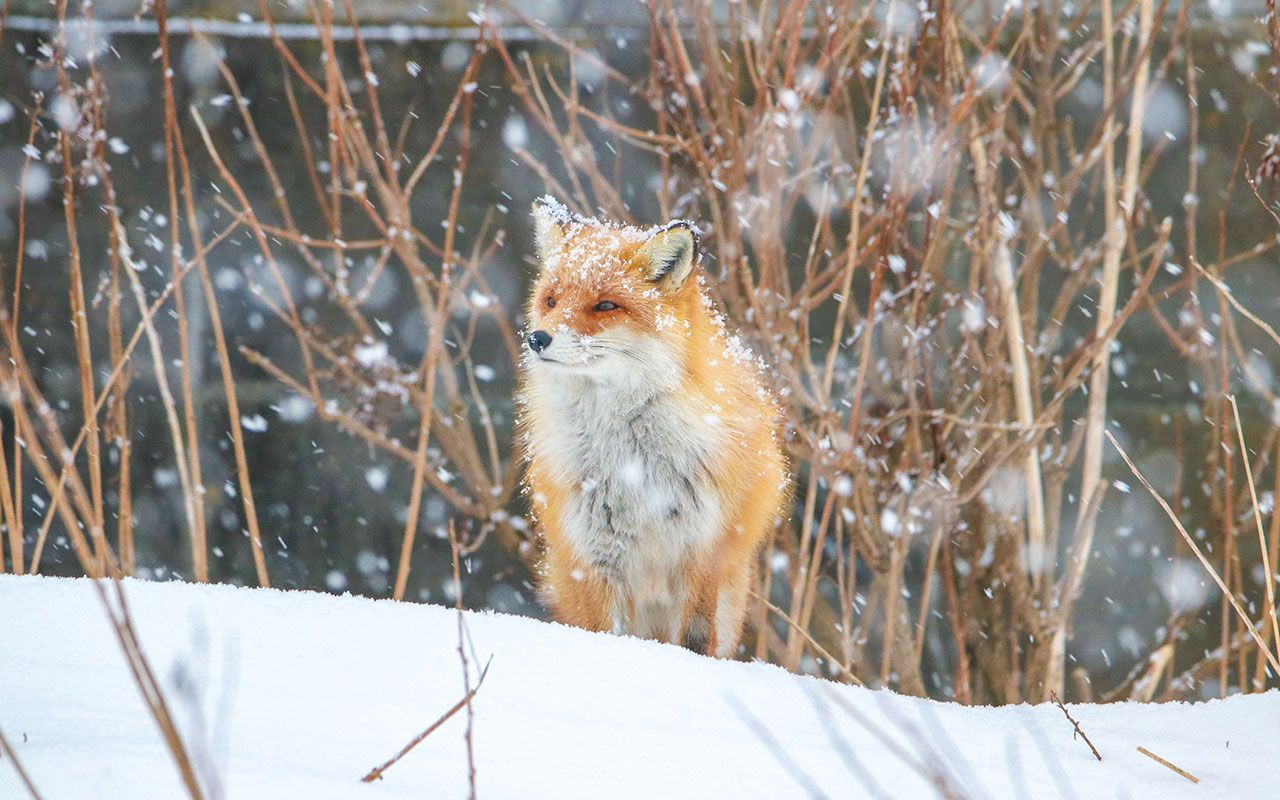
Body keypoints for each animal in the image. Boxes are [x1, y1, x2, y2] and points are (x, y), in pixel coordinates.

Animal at [514, 197, 783, 660]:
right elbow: (603, 634)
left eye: (605, 306)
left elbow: (695, 640)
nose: (537, 339)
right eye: (551, 300)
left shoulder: (701, 553)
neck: (632, 467)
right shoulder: (595, 559)